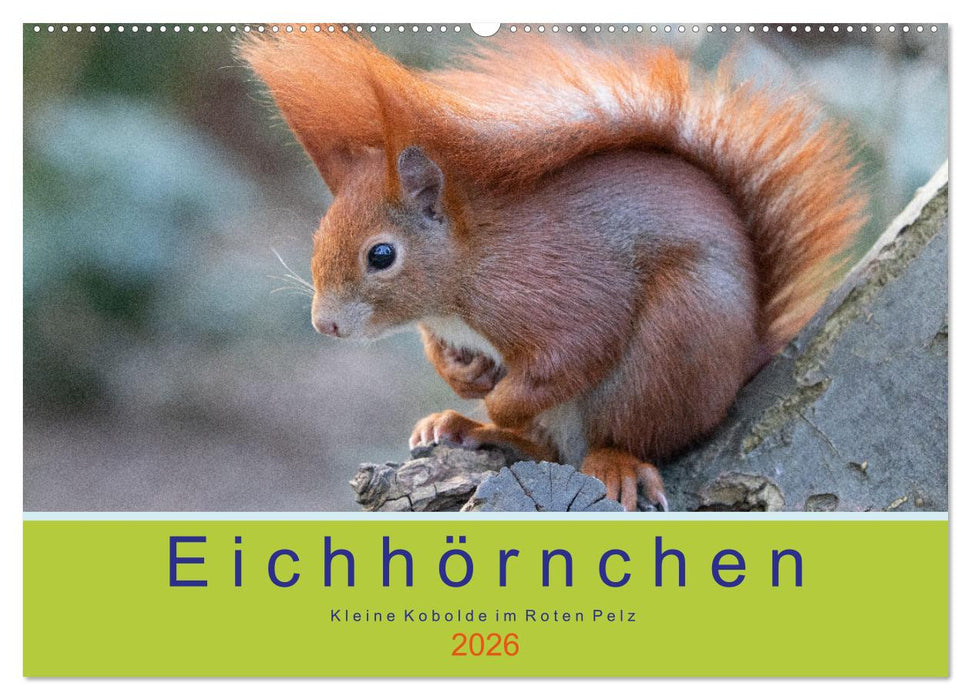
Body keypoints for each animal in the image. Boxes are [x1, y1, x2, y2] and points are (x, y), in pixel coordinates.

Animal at [241, 32, 866, 511]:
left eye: (381, 255)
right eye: (319, 235)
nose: (325, 325)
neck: (465, 275)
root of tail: (741, 365)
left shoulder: (555, 289)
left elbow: (573, 353)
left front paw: (497, 398)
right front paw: (463, 378)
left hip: (674, 346)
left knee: (622, 435)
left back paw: (608, 459)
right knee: (545, 451)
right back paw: (465, 427)